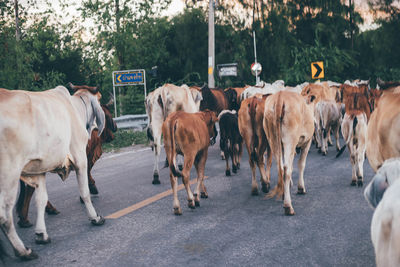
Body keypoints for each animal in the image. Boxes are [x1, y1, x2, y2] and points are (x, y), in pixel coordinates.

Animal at [0, 85, 105, 260]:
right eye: (99, 99)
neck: (74, 107)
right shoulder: (80, 158)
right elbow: (85, 192)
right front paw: (95, 217)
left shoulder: (39, 170)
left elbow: (41, 200)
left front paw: (41, 234)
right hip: (10, 175)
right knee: (5, 216)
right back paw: (24, 252)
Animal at [16, 101, 117, 229]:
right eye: (108, 115)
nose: (116, 127)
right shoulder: (85, 157)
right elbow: (87, 173)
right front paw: (90, 190)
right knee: (30, 189)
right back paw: (25, 219)